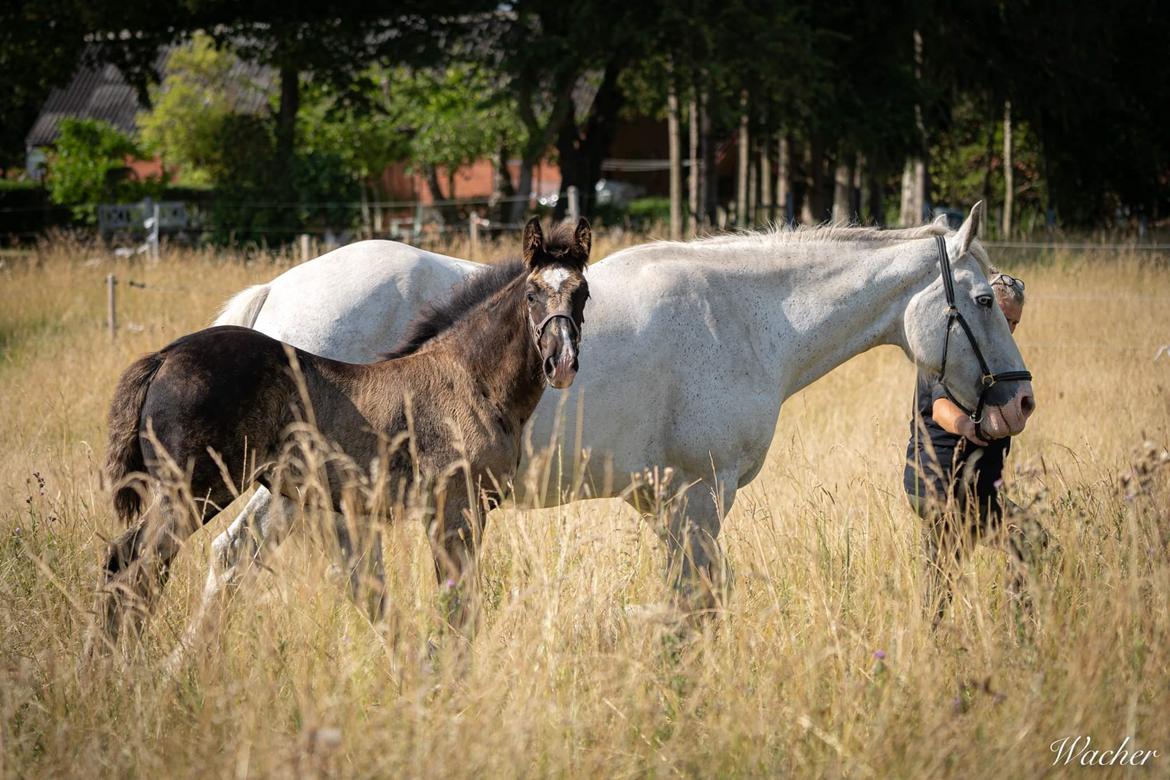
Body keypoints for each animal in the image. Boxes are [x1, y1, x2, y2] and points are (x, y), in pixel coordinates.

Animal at [196, 201, 1038, 626]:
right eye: (981, 299)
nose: (1020, 399)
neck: (745, 315)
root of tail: (278, 295)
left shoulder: (668, 507)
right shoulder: (699, 498)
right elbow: (697, 607)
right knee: (233, 560)